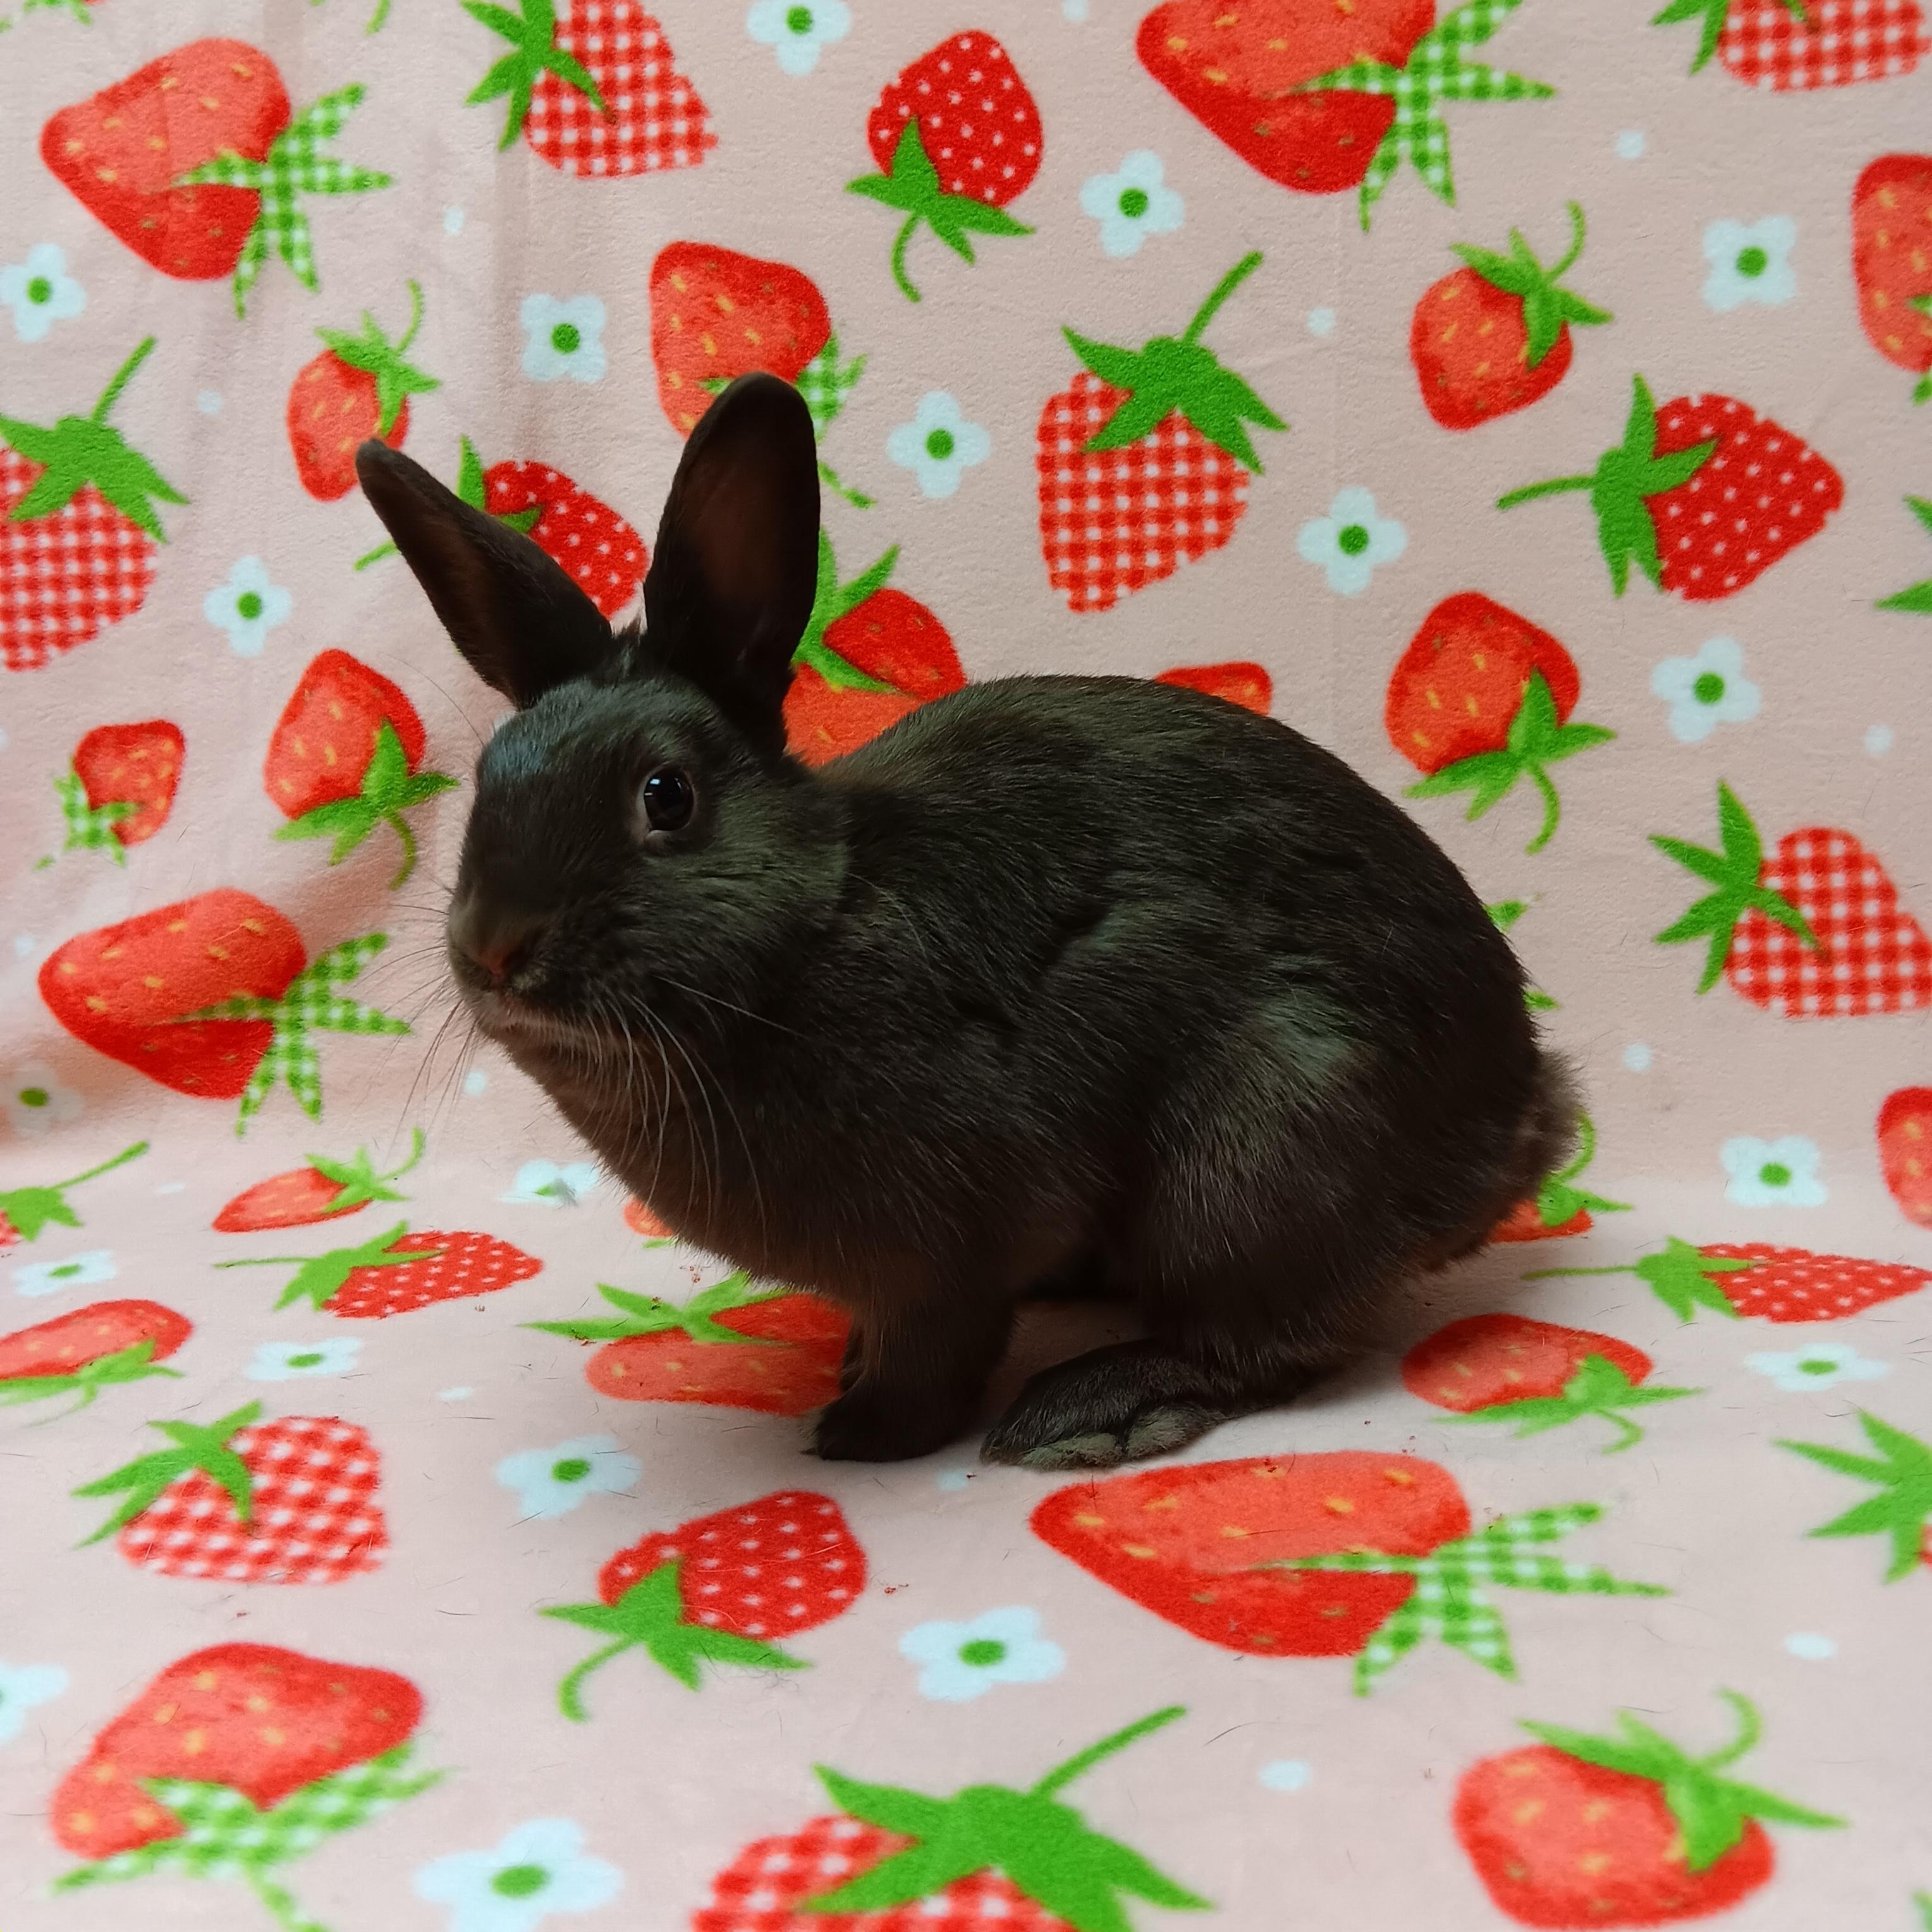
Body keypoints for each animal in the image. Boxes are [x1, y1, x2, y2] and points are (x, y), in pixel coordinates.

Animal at [355, 372, 1579, 1471]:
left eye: (667, 797)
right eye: (487, 783)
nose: (495, 947)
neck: (814, 933)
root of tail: (1517, 1120)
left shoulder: (951, 1251)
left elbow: (939, 1349)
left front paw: (865, 1434)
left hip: (1263, 1147)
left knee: (1266, 1340)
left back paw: (1089, 1410)